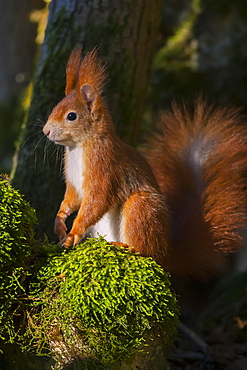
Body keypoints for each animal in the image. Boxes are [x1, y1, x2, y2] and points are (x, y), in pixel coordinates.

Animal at [43, 47, 246, 280]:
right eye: (55, 107)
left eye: (71, 116)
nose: (45, 131)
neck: (78, 148)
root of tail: (166, 250)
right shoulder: (74, 182)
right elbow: (71, 199)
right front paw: (59, 222)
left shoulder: (104, 168)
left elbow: (96, 201)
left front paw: (74, 233)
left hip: (140, 207)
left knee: (146, 251)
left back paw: (125, 247)